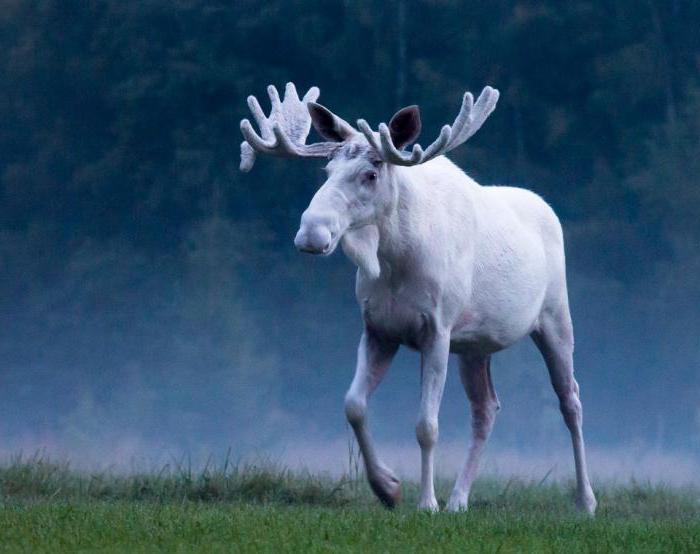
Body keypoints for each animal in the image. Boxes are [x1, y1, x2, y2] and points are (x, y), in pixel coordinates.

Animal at [239, 83, 596, 512]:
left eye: (370, 173)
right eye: (326, 171)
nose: (311, 233)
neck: (396, 262)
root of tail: (548, 209)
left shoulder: (436, 330)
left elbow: (426, 425)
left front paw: (426, 502)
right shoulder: (378, 330)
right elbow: (353, 405)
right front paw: (388, 488)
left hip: (555, 318)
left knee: (571, 401)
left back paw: (585, 500)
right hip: (474, 345)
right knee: (486, 408)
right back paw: (459, 499)